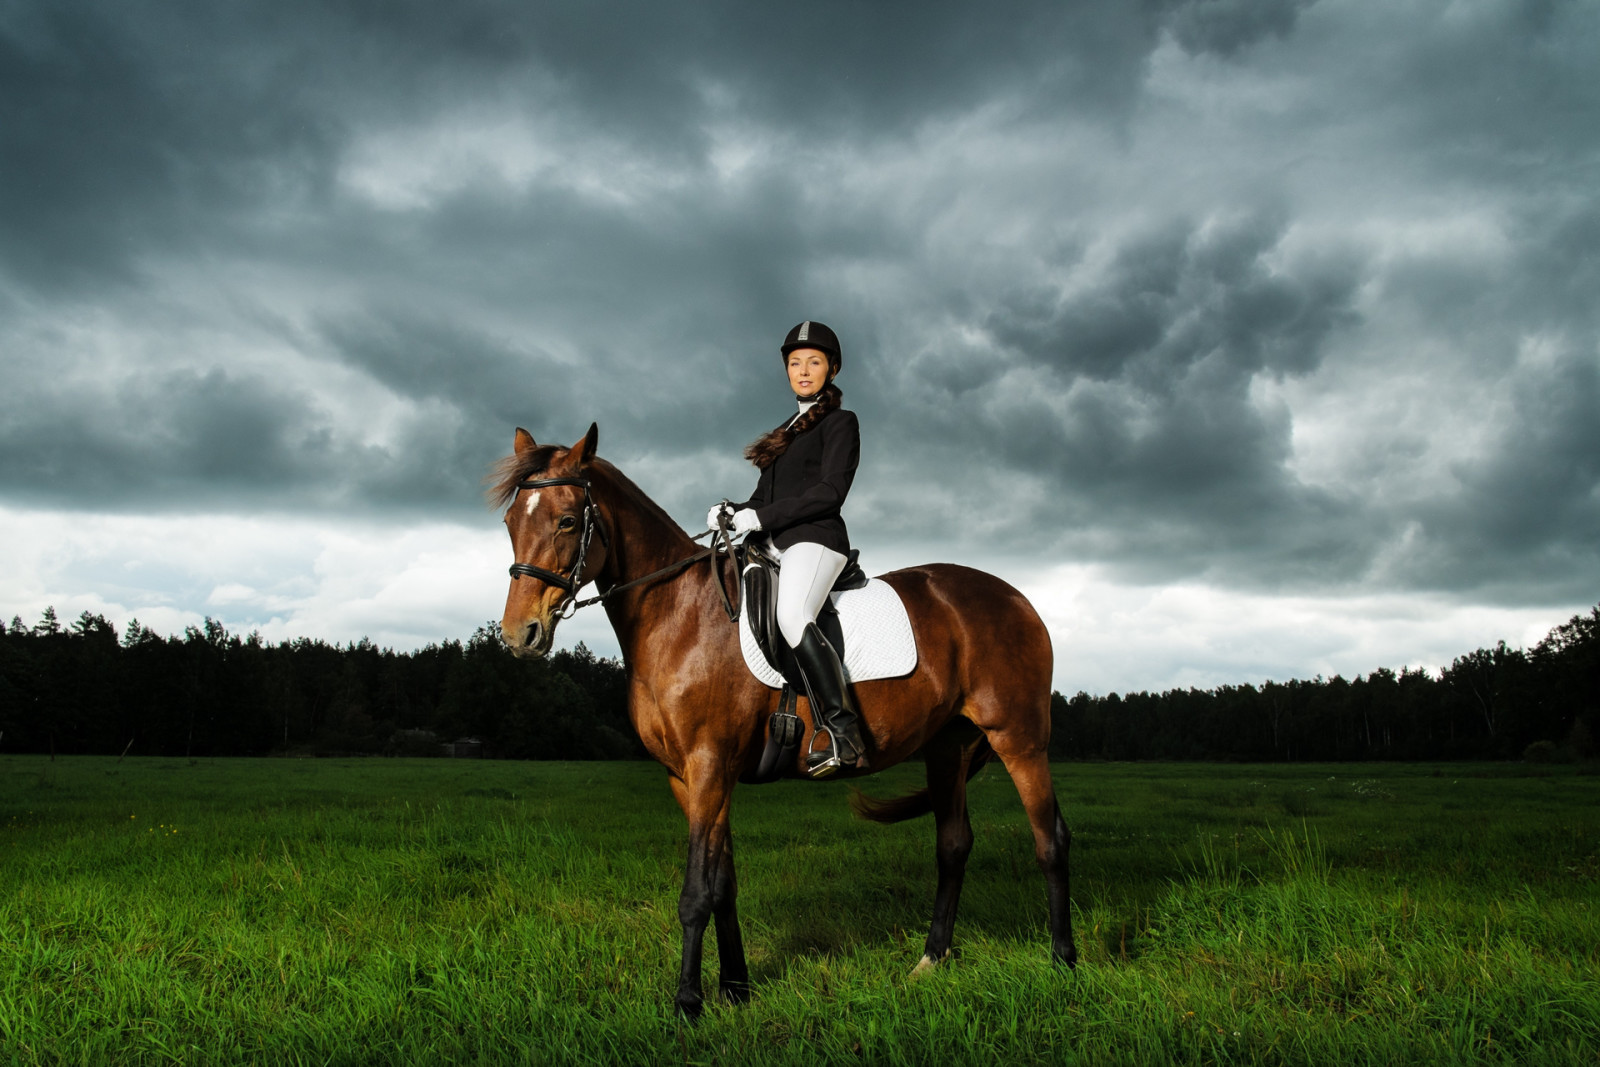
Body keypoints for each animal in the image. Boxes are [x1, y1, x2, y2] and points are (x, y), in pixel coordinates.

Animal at [486, 422, 1075, 1017]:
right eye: (511, 522)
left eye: (566, 520)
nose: (519, 635)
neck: (677, 614)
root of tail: (1017, 598)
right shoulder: (688, 777)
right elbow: (722, 884)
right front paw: (736, 988)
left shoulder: (709, 766)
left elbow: (695, 892)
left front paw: (687, 1002)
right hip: (948, 746)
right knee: (953, 846)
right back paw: (931, 960)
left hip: (1019, 739)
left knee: (1050, 839)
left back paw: (1063, 962)